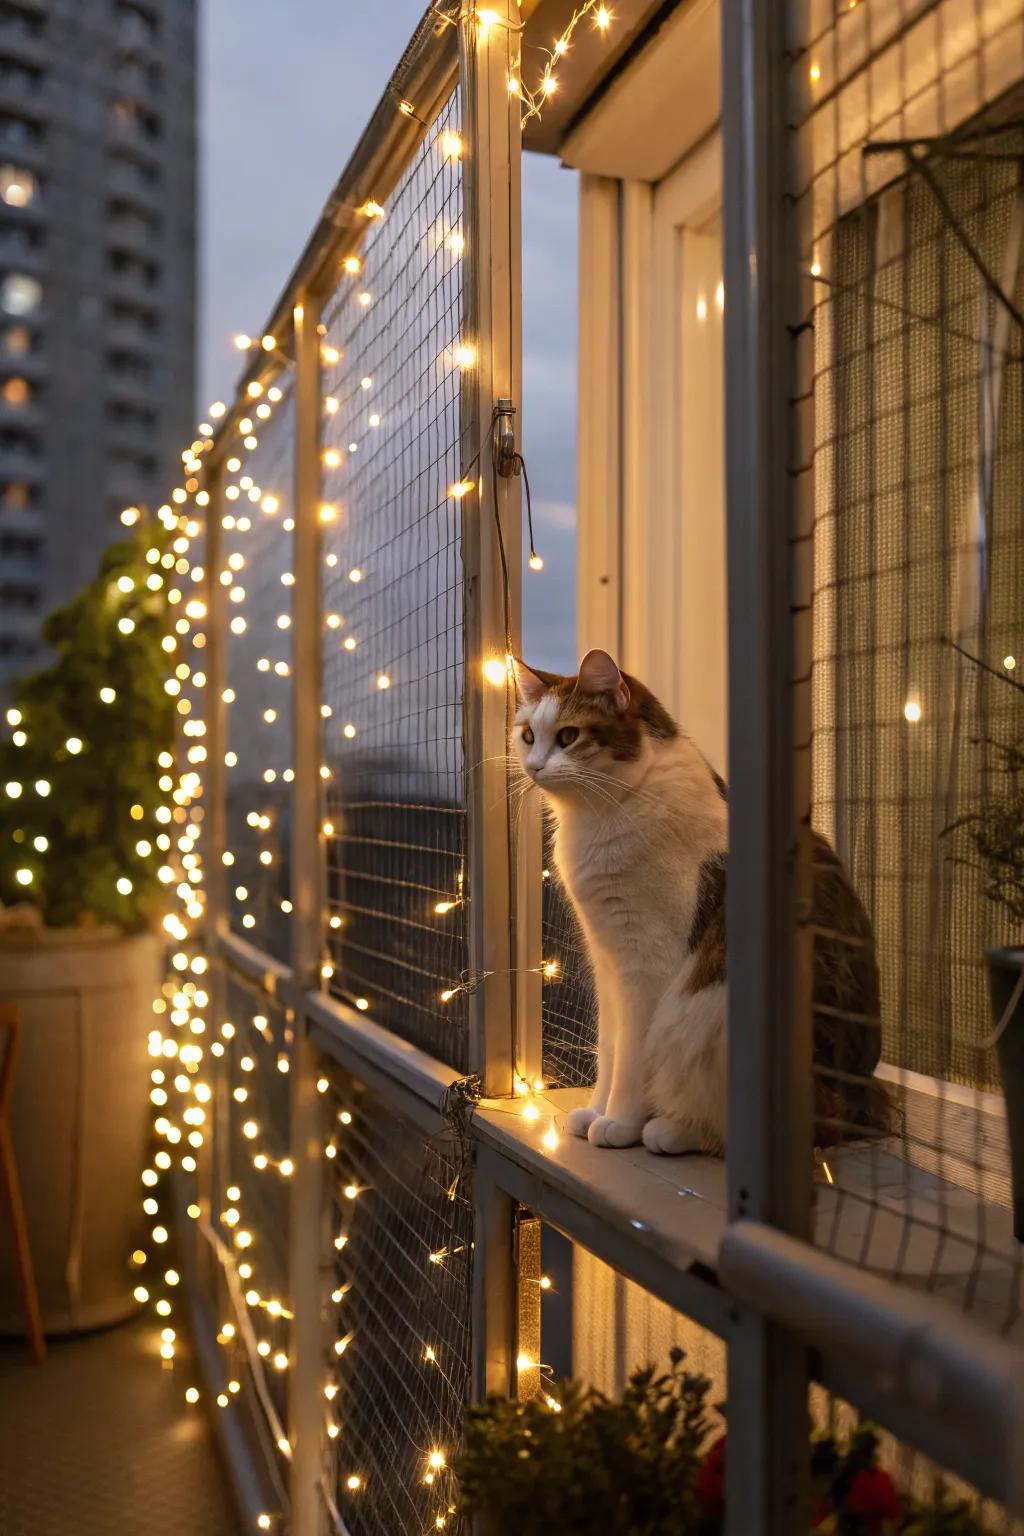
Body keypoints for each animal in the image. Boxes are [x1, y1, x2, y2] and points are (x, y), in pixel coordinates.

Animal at [515, 648, 884, 1155]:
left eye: (568, 736)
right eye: (529, 736)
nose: (533, 766)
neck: (607, 812)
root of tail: (864, 1097)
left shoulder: (646, 964)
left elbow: (632, 1057)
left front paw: (620, 1122)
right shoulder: (608, 960)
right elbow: (610, 1047)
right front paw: (596, 1109)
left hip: (709, 1015)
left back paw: (669, 1130)